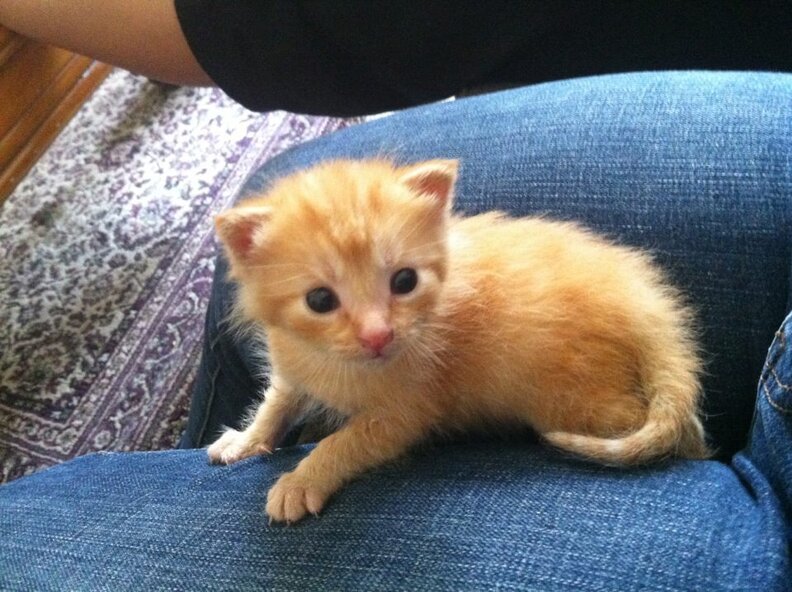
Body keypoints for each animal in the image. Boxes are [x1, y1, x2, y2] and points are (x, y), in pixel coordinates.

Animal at [208, 158, 710, 524]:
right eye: (319, 300)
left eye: (404, 281)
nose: (379, 335)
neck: (336, 362)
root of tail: (648, 305)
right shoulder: (292, 366)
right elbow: (276, 403)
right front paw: (246, 440)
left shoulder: (407, 413)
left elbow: (345, 441)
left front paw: (302, 480)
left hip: (580, 401)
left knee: (681, 428)